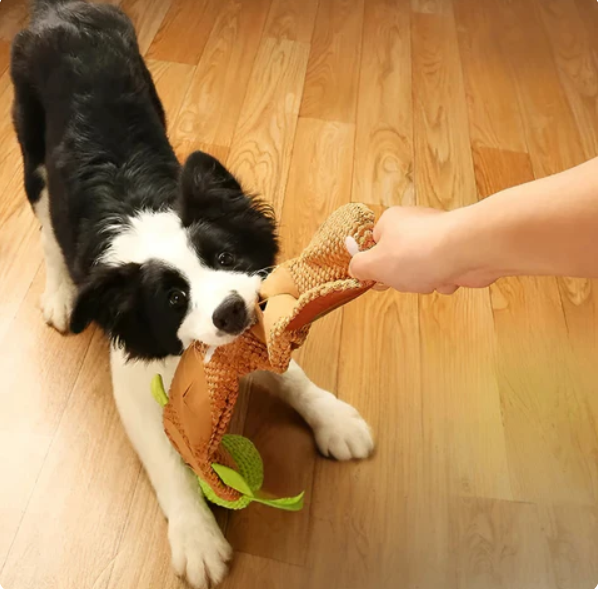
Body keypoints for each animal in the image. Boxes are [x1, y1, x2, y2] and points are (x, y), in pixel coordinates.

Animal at [11, 2, 378, 584]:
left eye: (225, 259)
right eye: (173, 300)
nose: (229, 312)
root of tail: (62, 8)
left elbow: (291, 374)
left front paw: (335, 420)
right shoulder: (134, 377)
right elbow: (166, 459)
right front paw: (197, 539)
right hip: (32, 149)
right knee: (47, 228)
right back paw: (61, 295)